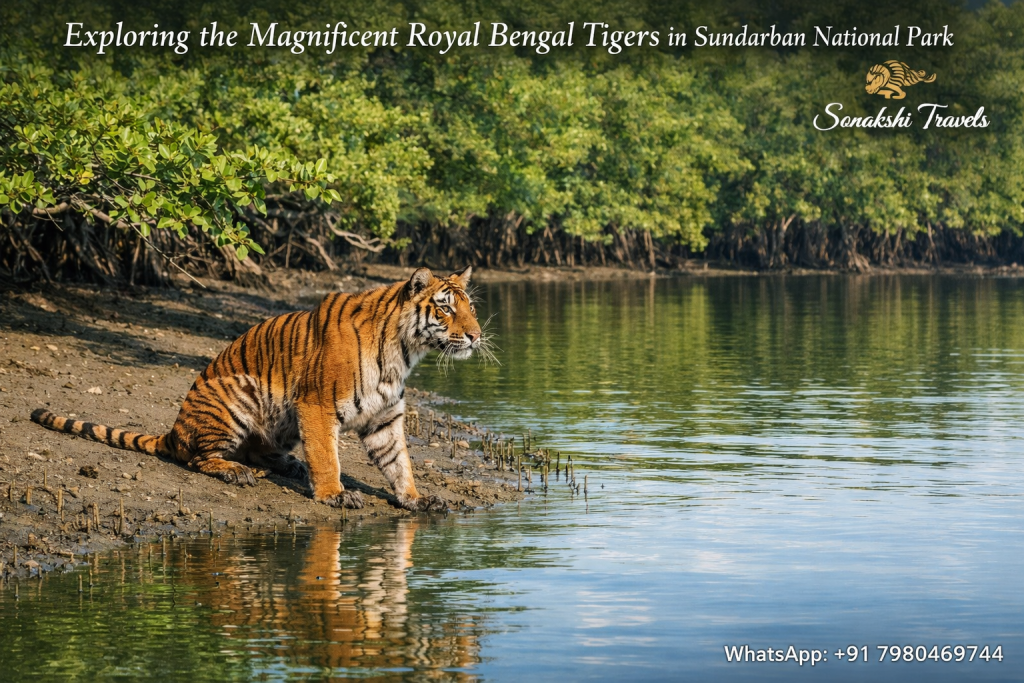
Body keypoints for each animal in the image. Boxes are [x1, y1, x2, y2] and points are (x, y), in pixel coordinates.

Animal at [30, 267, 484, 512]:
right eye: (445, 308)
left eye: (471, 306)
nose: (476, 336)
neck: (404, 352)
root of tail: (172, 430)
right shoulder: (316, 404)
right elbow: (327, 457)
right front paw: (335, 495)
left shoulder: (384, 419)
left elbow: (399, 463)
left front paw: (415, 498)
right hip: (237, 394)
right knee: (197, 457)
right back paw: (236, 473)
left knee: (254, 450)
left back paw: (286, 464)